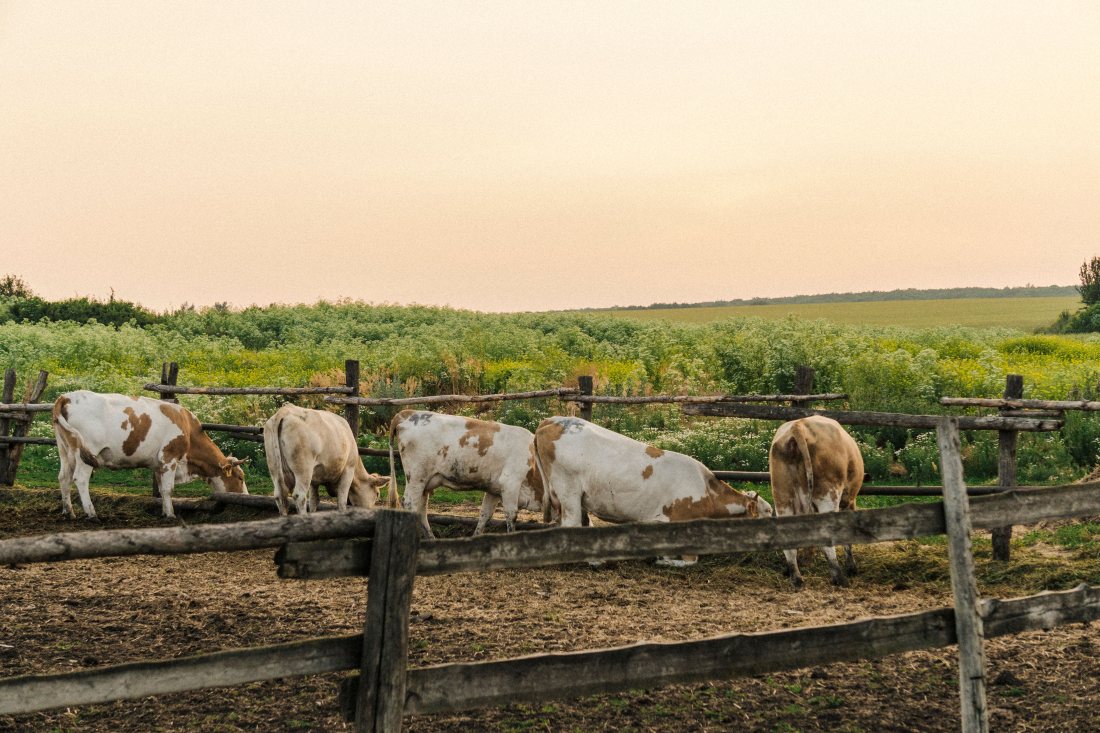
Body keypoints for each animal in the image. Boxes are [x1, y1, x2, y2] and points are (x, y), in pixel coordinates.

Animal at [52, 391, 248, 519]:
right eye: (240, 477)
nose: (245, 496)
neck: (187, 428)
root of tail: (67, 396)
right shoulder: (169, 458)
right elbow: (168, 489)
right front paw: (171, 515)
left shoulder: (158, 465)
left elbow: (161, 489)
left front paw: (164, 511)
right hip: (86, 453)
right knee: (80, 479)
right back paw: (92, 513)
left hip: (65, 451)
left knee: (64, 478)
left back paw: (69, 512)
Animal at [387, 409, 544, 538]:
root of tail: (409, 413)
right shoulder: (510, 484)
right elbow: (511, 516)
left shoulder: (494, 490)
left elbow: (485, 515)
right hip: (416, 476)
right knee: (410, 504)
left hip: (426, 482)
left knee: (421, 509)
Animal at [532, 416, 771, 567]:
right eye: (768, 512)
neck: (706, 492)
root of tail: (552, 420)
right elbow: (690, 561)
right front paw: (662, 560)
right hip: (568, 490)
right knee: (570, 524)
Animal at [769, 415, 864, 587]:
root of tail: (798, 425)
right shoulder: (849, 501)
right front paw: (851, 567)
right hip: (828, 494)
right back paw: (839, 578)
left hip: (782, 496)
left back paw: (796, 577)